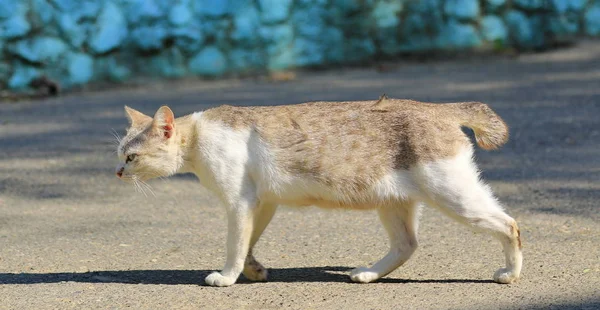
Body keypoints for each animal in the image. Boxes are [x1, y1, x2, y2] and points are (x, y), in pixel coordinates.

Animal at [116, 97, 520, 288]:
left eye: (131, 156)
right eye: (120, 154)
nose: (118, 171)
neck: (199, 136)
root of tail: (439, 108)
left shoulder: (239, 203)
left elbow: (234, 245)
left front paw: (228, 276)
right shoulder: (262, 203)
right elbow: (248, 243)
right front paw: (253, 270)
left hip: (454, 196)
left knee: (510, 225)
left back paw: (511, 272)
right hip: (394, 202)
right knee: (407, 245)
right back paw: (368, 274)